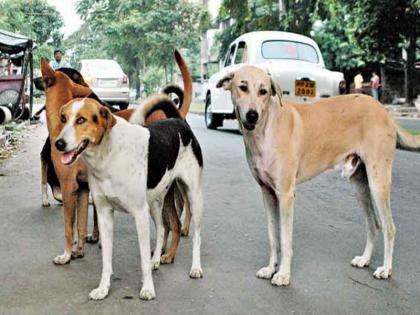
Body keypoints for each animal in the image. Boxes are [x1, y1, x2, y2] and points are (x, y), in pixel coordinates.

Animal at [54, 97, 203, 302]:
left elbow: (143, 260)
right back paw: (156, 259)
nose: (58, 144)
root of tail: (178, 121)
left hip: (193, 196)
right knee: (163, 227)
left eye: (81, 120)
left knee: (196, 235)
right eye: (63, 118)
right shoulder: (104, 214)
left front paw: (148, 288)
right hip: (156, 201)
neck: (108, 155)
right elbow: (106, 260)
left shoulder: (139, 214)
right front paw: (103, 289)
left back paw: (195, 268)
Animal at [218, 66, 418, 286]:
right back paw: (365, 259)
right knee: (373, 223)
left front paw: (283, 274)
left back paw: (386, 269)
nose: (252, 115)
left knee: (390, 227)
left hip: (378, 182)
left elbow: (285, 240)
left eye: (264, 91)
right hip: (360, 185)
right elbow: (273, 237)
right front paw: (271, 268)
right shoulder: (268, 194)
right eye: (243, 87)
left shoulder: (286, 195)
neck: (266, 128)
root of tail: (384, 110)